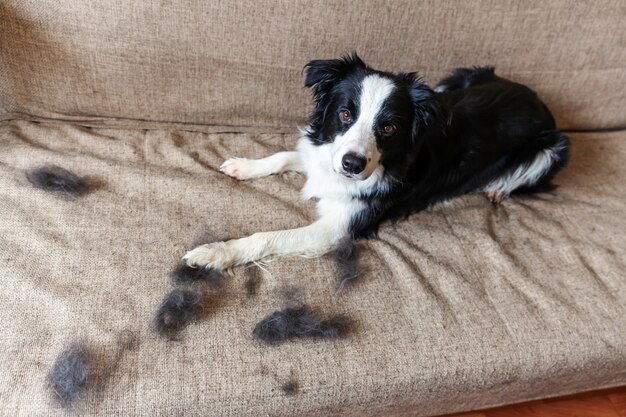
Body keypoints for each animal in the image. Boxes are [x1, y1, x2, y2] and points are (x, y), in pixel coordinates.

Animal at [183, 52, 568, 270]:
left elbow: (270, 237)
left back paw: (498, 189)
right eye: (344, 114)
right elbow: (285, 155)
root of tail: (539, 100)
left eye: (389, 127)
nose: (352, 164)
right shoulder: (327, 154)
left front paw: (215, 253)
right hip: (457, 78)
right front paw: (244, 166)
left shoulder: (338, 227)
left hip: (555, 147)